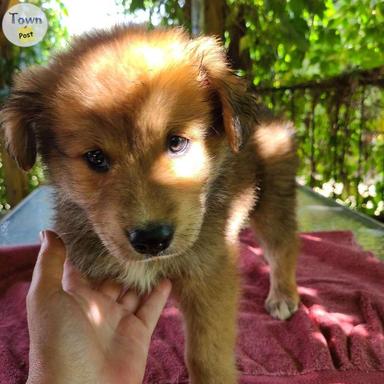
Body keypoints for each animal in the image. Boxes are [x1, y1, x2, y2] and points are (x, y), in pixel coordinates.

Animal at [0, 27, 300, 384]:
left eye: (177, 143)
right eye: (95, 157)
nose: (152, 240)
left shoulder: (210, 272)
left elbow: (206, 353)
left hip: (274, 196)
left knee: (283, 247)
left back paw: (283, 295)